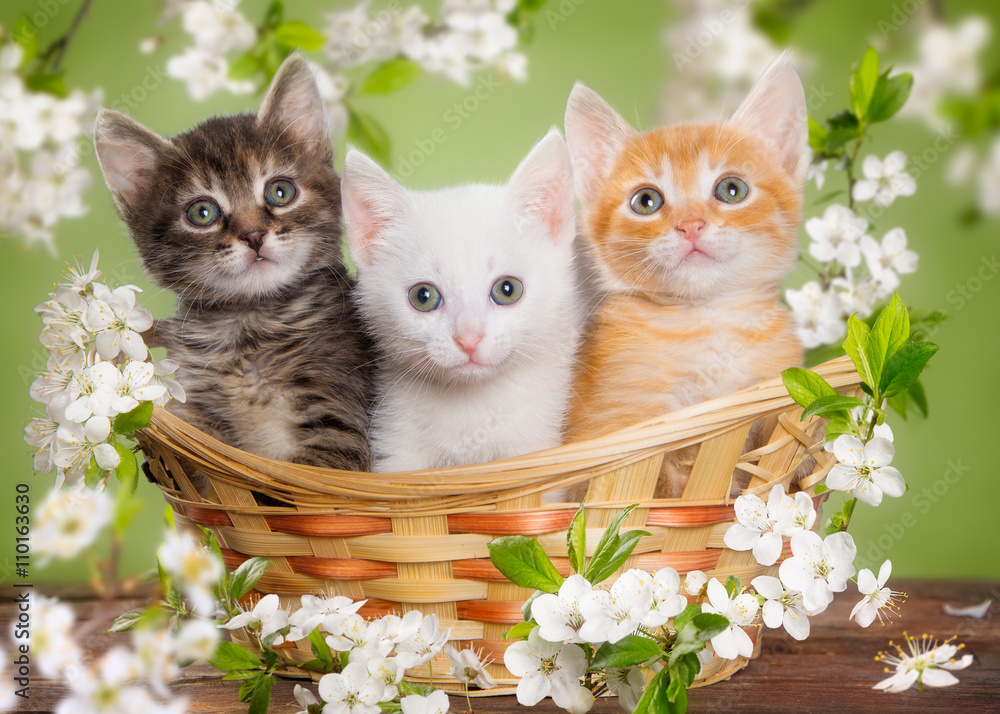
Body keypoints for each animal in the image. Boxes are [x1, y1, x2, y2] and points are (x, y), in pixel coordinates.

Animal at [94, 54, 374, 468]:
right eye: (202, 213)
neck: (249, 327)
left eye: (280, 191)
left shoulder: (341, 420)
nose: (254, 235)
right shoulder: (197, 410)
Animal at [568, 55, 808, 496]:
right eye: (646, 201)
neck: (707, 322)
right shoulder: (605, 429)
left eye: (732, 190)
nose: (691, 225)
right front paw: (681, 482)